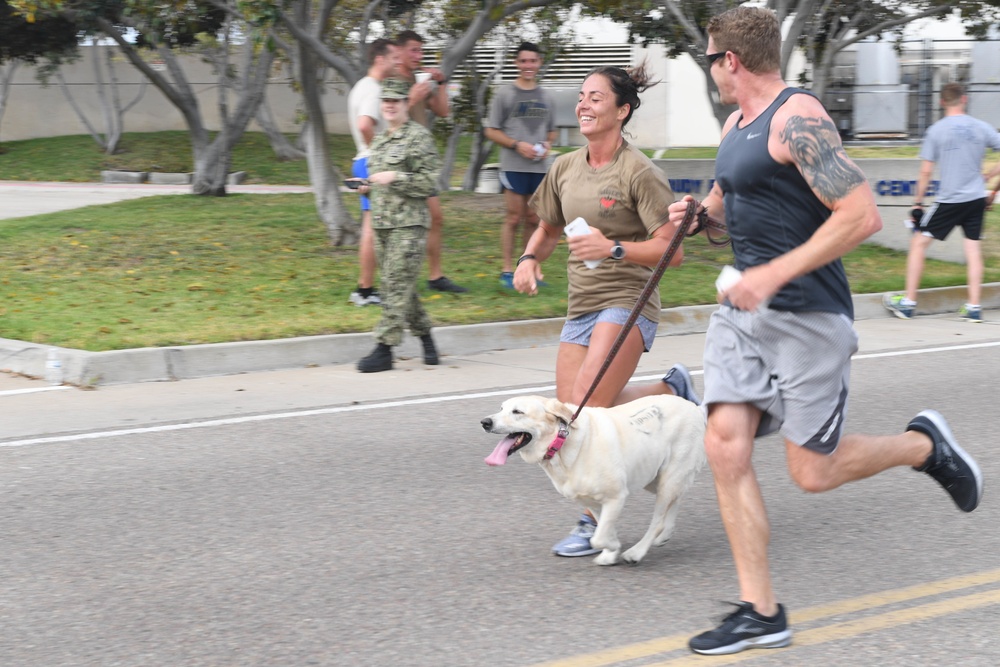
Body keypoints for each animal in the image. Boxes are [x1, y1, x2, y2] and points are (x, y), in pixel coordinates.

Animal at [482, 394, 704, 568]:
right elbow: (604, 530)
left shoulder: (616, 497)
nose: (485, 422)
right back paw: (665, 534)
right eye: (501, 408)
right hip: (655, 478)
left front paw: (615, 548)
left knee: (658, 519)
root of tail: (694, 407)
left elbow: (599, 538)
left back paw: (637, 552)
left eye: (517, 412)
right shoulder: (594, 503)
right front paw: (610, 553)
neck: (562, 441)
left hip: (669, 477)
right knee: (676, 500)